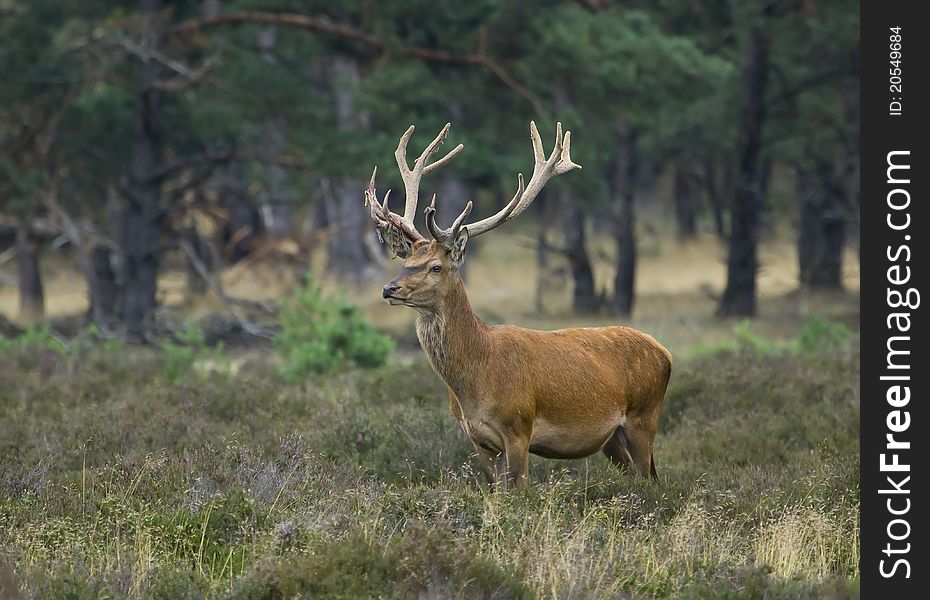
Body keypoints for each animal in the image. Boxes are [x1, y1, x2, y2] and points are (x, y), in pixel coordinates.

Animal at [366, 122, 672, 488]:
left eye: (435, 267)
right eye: (406, 261)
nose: (389, 288)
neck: (476, 380)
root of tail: (666, 353)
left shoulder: (519, 428)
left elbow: (520, 491)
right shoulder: (479, 440)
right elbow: (494, 494)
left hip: (644, 416)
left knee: (651, 480)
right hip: (611, 438)